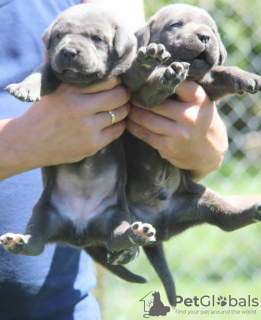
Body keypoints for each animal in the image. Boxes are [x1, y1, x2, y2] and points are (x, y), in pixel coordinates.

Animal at [1, 3, 156, 284]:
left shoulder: (126, 81)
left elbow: (134, 74)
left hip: (114, 215)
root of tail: (80, 231)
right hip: (44, 213)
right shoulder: (51, 68)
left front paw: (147, 61)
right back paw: (18, 242)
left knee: (116, 237)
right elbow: (39, 73)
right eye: (59, 36)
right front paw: (25, 87)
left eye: (97, 38)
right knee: (36, 242)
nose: (69, 52)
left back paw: (135, 234)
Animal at [122, 4, 260, 304]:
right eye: (176, 25)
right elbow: (153, 84)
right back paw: (127, 245)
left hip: (201, 202)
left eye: (213, 30)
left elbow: (221, 71)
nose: (205, 36)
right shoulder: (141, 98)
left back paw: (253, 211)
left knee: (225, 221)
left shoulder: (207, 85)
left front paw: (246, 77)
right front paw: (167, 76)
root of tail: (159, 225)